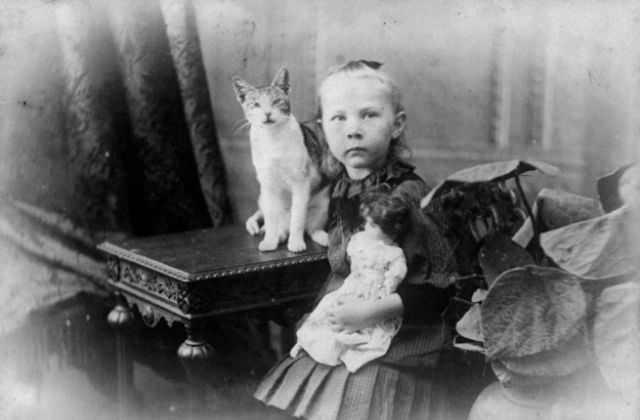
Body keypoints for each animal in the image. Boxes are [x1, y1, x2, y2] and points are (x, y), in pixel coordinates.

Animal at [231, 68, 330, 253]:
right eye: (256, 104)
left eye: (276, 101)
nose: (267, 113)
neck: (273, 138)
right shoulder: (267, 183)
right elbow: (271, 219)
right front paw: (270, 241)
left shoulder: (300, 181)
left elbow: (297, 218)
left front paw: (296, 243)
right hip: (264, 198)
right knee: (278, 223)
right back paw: (278, 235)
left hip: (323, 203)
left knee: (311, 228)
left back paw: (321, 237)